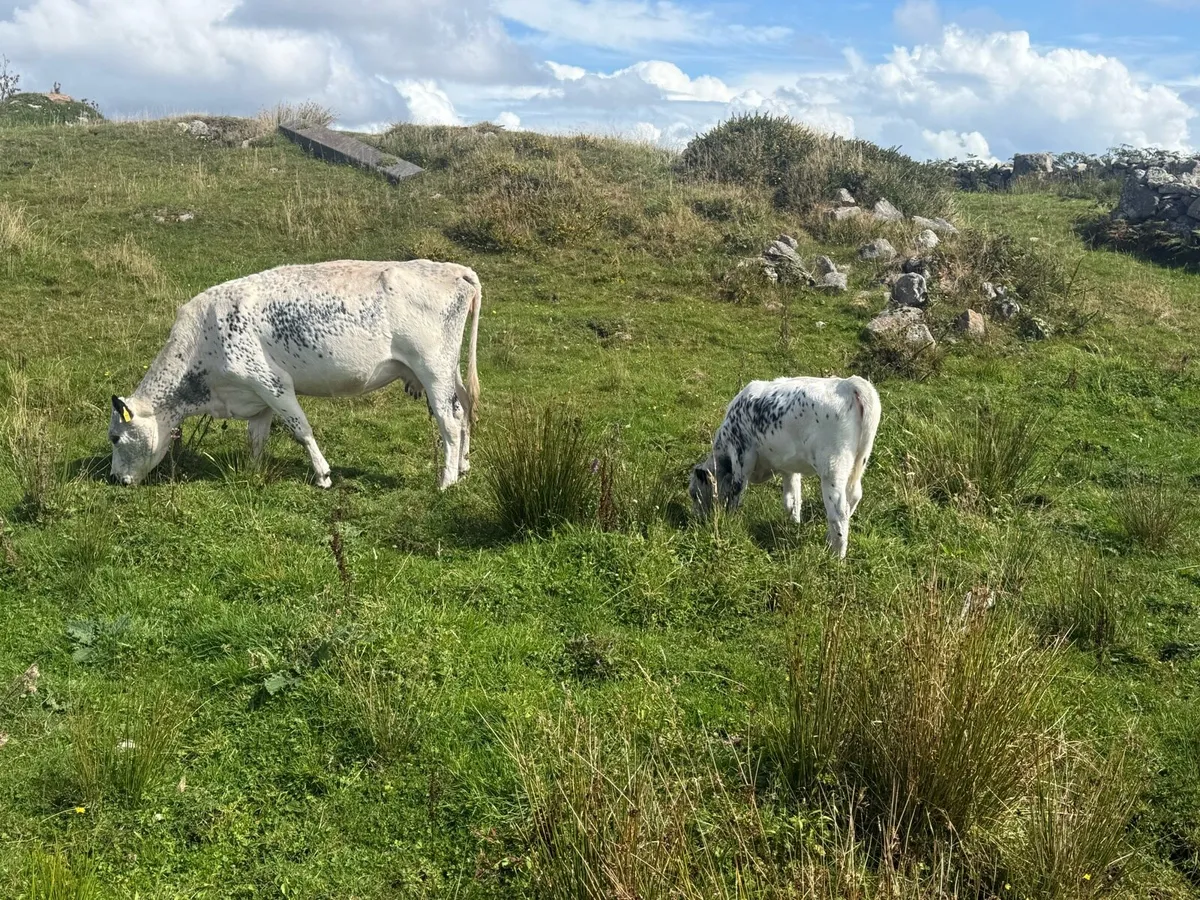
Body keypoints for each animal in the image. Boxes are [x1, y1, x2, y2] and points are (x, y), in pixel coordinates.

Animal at [108, 259, 481, 490]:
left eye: (114, 437)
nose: (114, 478)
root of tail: (454, 269)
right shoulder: (255, 398)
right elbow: (256, 438)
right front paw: (253, 470)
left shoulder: (272, 383)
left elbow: (301, 430)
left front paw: (324, 475)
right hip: (449, 371)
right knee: (464, 411)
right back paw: (463, 467)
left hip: (433, 370)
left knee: (449, 422)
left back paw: (446, 481)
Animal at [688, 375, 881, 559]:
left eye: (694, 493)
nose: (697, 520)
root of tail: (847, 384)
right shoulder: (789, 468)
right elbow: (792, 499)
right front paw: (794, 523)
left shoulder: (742, 456)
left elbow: (736, 492)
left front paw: (730, 521)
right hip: (858, 462)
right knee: (854, 496)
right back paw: (828, 540)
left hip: (832, 467)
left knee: (839, 511)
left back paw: (836, 557)